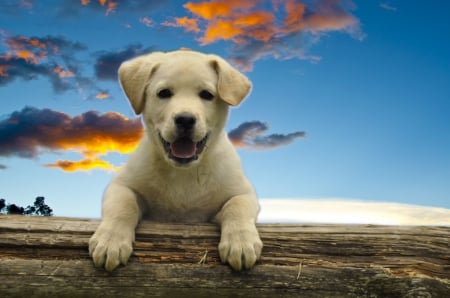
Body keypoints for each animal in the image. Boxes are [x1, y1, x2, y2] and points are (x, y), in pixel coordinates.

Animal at [88, 50, 264, 272]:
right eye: (164, 93)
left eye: (207, 94)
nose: (185, 119)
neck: (183, 172)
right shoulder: (121, 185)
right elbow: (123, 205)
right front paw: (110, 241)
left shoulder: (242, 192)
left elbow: (237, 206)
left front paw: (241, 242)